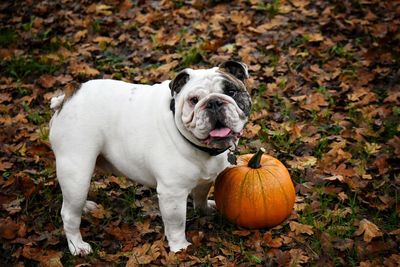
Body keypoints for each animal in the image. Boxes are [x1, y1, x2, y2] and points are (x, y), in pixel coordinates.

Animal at [48, 60, 252, 255]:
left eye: (231, 91)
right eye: (194, 100)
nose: (214, 103)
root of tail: (68, 97)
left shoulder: (205, 180)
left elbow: (200, 197)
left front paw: (206, 210)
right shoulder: (172, 194)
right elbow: (176, 224)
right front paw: (180, 248)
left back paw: (86, 207)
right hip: (77, 172)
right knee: (69, 213)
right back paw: (77, 246)